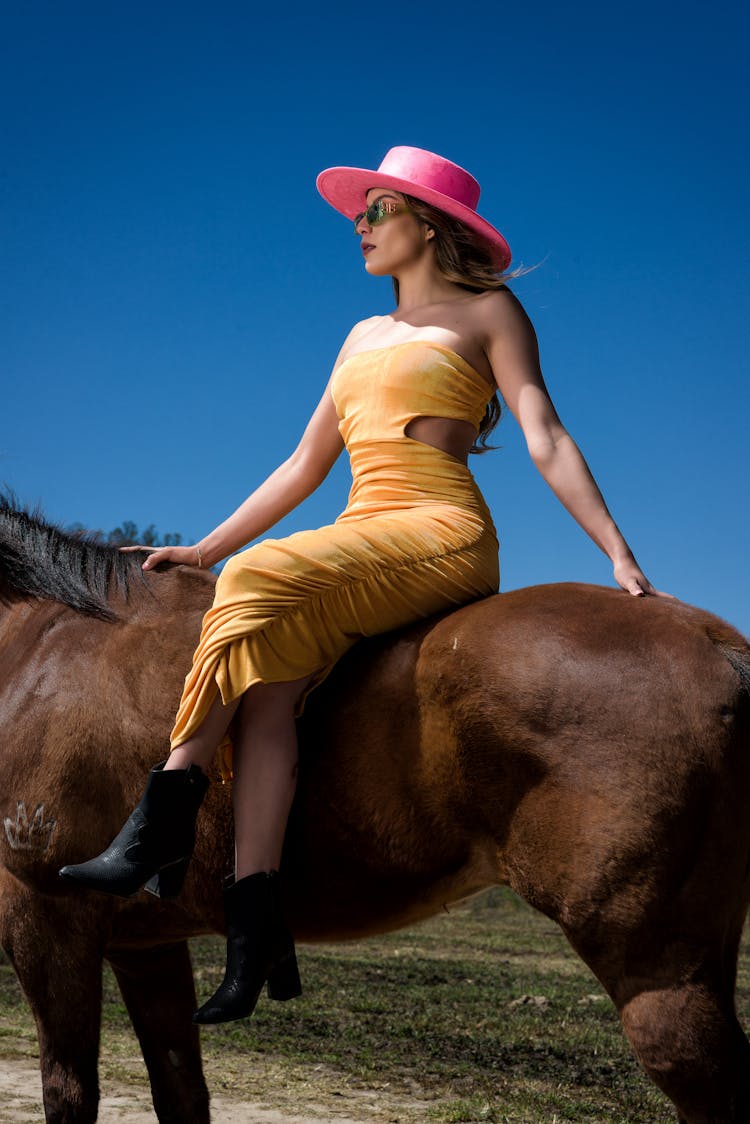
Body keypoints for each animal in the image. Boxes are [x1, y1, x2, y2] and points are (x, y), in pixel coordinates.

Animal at [0, 501, 746, 1124]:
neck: (41, 646)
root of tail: (719, 646)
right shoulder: (144, 944)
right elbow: (181, 1093)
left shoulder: (45, 917)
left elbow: (70, 1092)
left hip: (656, 972)